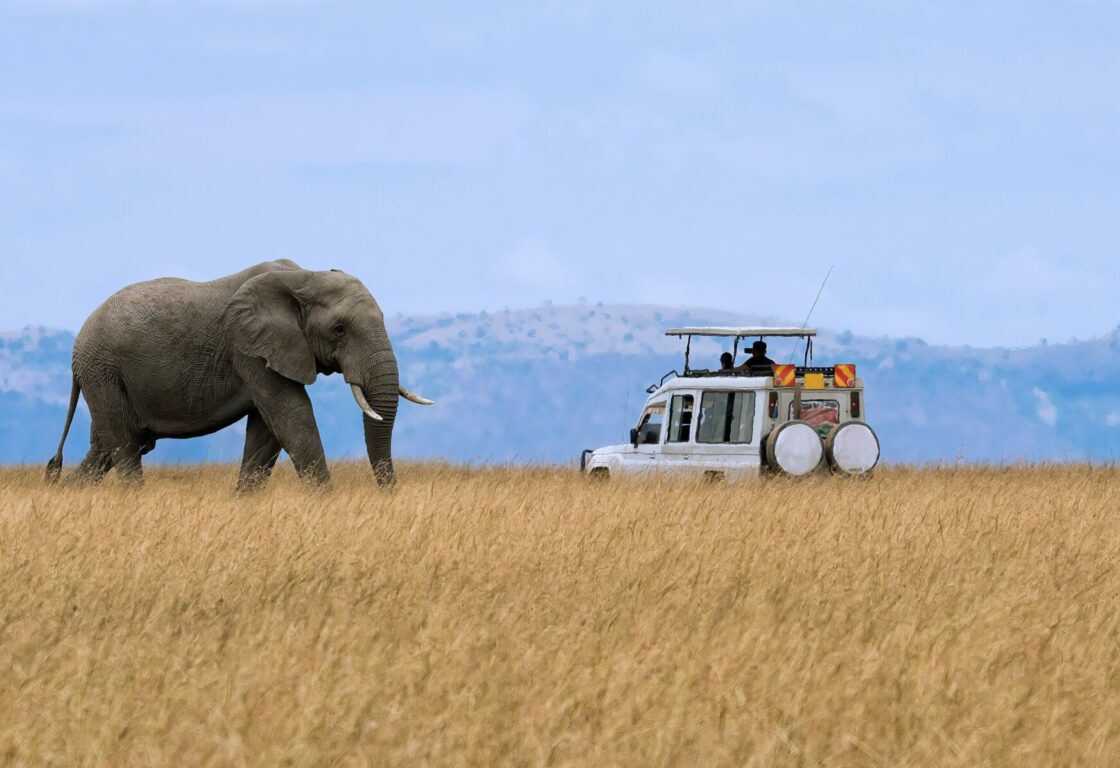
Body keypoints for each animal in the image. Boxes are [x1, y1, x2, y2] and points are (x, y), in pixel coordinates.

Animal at [44, 260, 432, 489]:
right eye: (339, 329)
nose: (387, 495)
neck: (303, 275)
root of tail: (78, 345)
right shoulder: (249, 348)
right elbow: (292, 417)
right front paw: (327, 502)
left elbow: (267, 431)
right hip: (103, 371)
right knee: (124, 446)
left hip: (106, 376)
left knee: (108, 447)